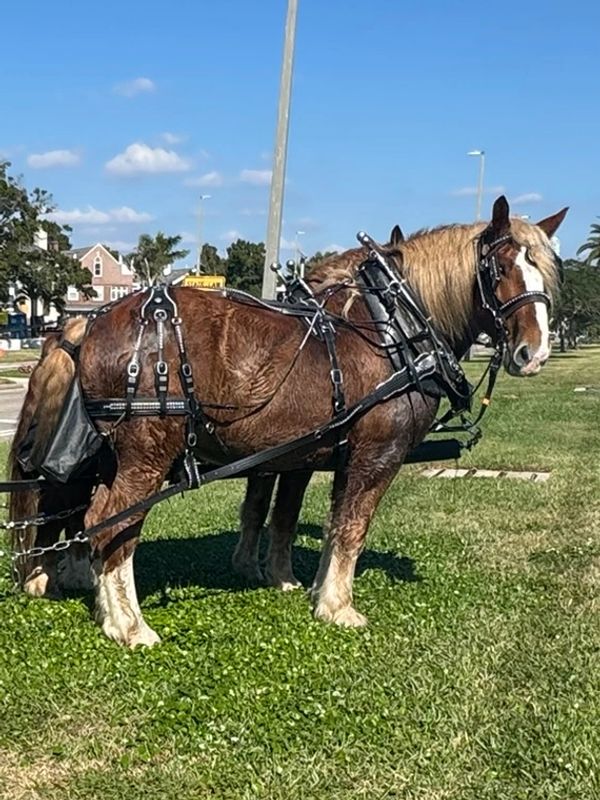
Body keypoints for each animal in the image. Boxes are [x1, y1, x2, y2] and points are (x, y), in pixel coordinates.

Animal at [7, 195, 565, 647]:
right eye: (499, 267)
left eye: (546, 270)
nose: (534, 352)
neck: (394, 326)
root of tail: (89, 322)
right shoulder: (375, 454)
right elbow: (351, 527)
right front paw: (338, 606)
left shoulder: (315, 454)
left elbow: (300, 517)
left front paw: (302, 583)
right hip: (147, 451)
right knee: (108, 519)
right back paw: (127, 623)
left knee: (73, 508)